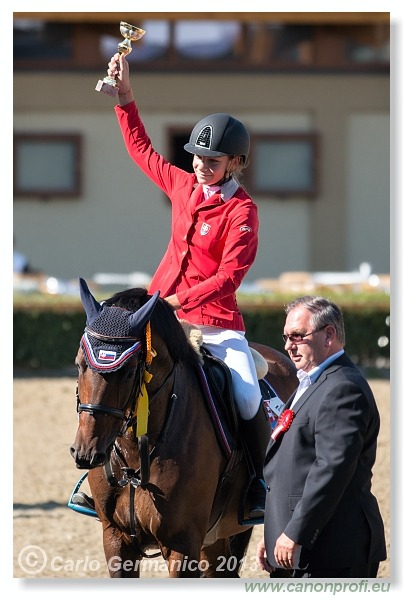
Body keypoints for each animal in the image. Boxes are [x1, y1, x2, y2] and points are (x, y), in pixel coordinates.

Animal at [69, 278, 298, 580]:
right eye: (79, 364)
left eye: (128, 371)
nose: (86, 452)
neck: (137, 452)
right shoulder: (116, 539)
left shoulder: (182, 544)